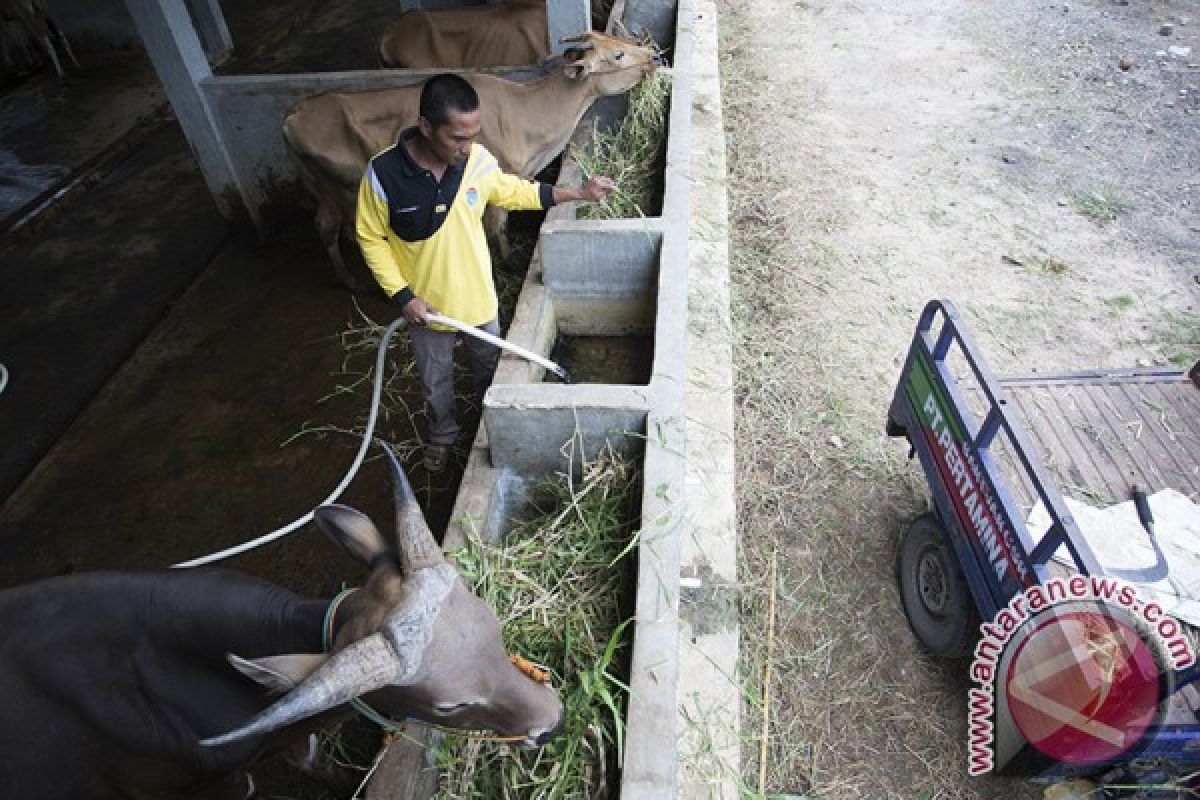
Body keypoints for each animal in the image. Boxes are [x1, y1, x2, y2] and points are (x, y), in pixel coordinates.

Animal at [283, 33, 657, 293]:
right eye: (618, 54)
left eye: (620, 41)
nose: (654, 56)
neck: (528, 114)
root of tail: (295, 111)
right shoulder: (493, 177)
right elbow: (497, 228)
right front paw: (507, 264)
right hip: (333, 187)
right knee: (327, 226)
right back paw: (353, 281)